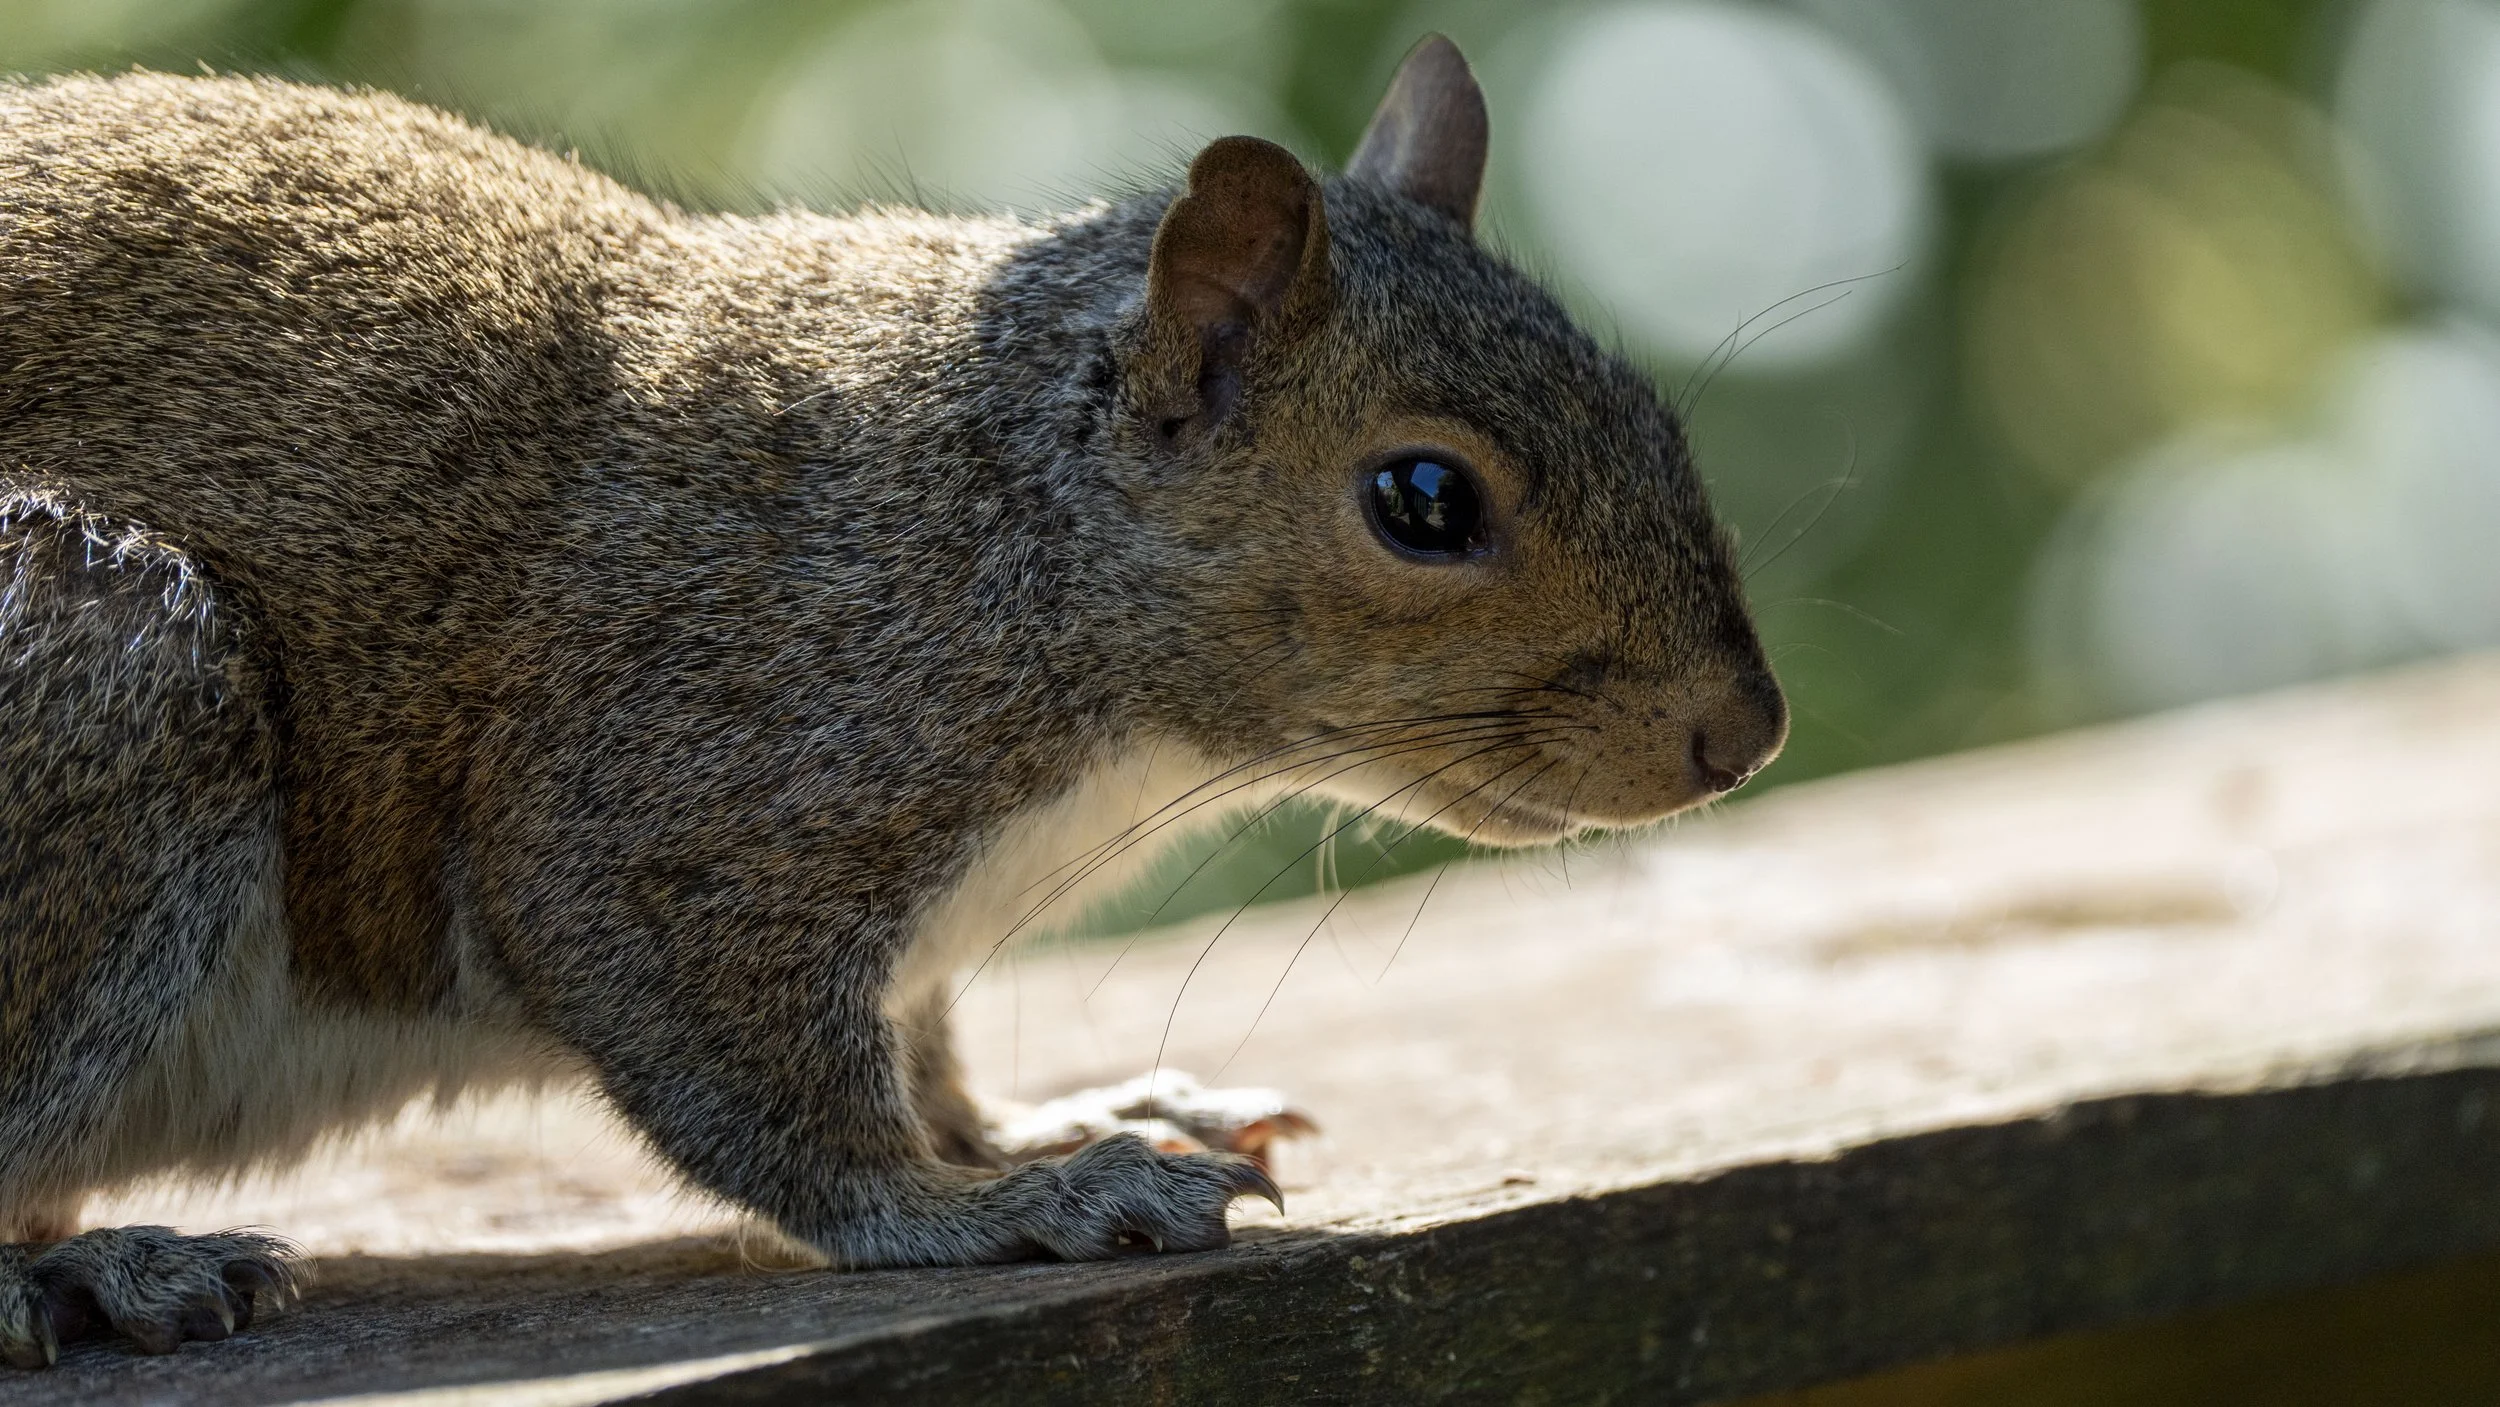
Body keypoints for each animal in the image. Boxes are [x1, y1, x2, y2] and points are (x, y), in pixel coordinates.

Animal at [0, 35, 1785, 1367]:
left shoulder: (911, 929)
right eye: (1424, 498)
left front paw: (1066, 1120)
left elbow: (929, 1055)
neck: (998, 525)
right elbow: (774, 1104)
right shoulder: (674, 798)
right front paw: (1000, 1208)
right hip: (119, 683)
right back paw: (85, 1274)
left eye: (1651, 414)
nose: (1743, 732)